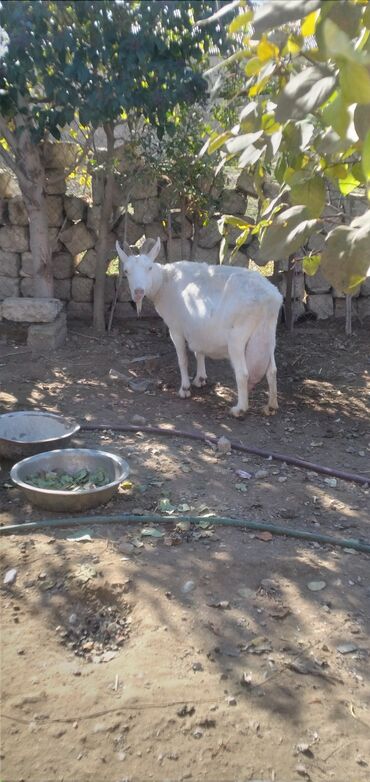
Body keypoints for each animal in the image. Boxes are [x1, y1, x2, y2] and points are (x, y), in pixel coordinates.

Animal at [116, 239, 284, 416]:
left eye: (149, 268)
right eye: (126, 271)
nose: (138, 292)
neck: (164, 282)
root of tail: (269, 300)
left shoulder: (175, 328)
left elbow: (182, 359)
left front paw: (185, 389)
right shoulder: (197, 327)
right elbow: (199, 352)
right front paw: (200, 379)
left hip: (238, 338)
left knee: (243, 373)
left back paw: (239, 409)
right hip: (268, 335)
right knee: (272, 370)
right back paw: (271, 405)